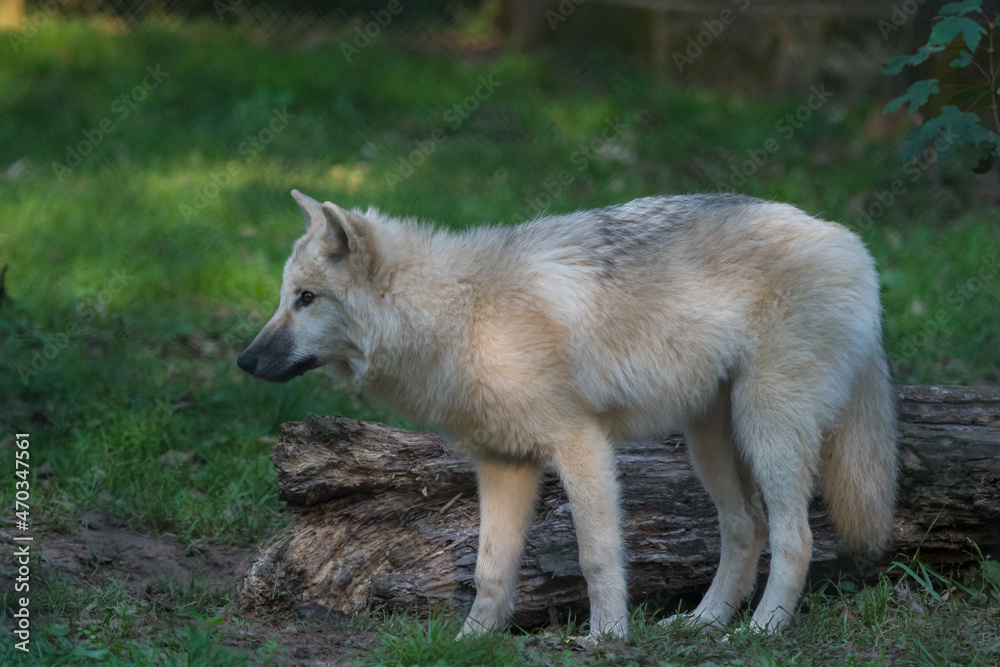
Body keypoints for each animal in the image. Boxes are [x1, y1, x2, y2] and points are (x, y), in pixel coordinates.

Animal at [238, 190, 898, 639]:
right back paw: (703, 625)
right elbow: (489, 570)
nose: (244, 360)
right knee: (746, 529)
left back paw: (760, 631)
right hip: (709, 442)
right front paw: (472, 641)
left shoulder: (582, 445)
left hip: (768, 432)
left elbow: (596, 555)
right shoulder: (503, 464)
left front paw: (606, 638)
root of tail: (854, 245)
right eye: (283, 299)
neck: (461, 315)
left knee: (795, 537)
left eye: (306, 299)